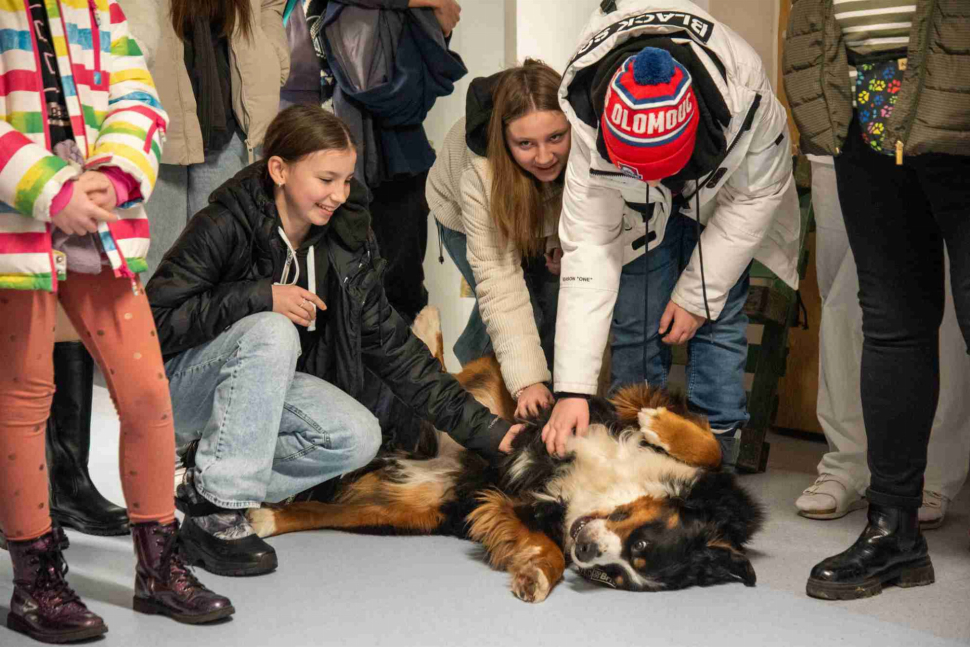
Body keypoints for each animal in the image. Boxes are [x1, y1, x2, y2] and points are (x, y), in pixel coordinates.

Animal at [246, 308, 760, 604]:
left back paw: (266, 519)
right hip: (502, 394)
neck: (615, 489)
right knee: (441, 373)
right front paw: (659, 425)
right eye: (642, 545)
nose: (585, 552)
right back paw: (428, 321)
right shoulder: (616, 408)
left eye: (614, 576)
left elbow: (545, 548)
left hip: (410, 512)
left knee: (326, 510)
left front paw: (537, 577)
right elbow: (710, 446)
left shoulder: (513, 507)